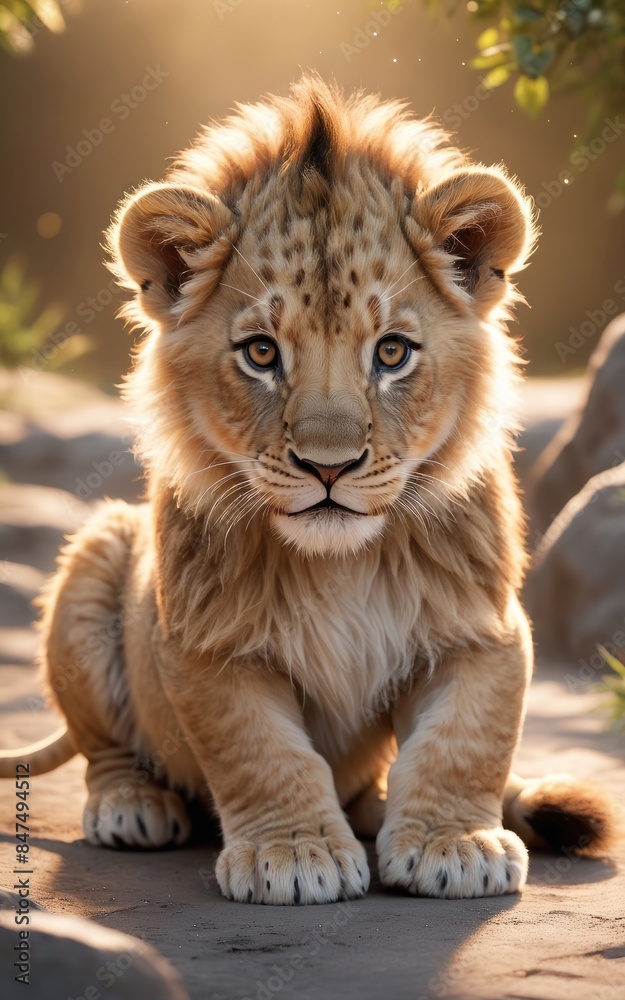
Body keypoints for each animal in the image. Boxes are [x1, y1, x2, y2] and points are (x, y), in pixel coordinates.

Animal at [0, 76, 616, 904]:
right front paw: (294, 854)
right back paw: (133, 805)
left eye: (391, 352)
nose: (329, 466)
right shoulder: (206, 643)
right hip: (98, 552)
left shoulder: (481, 628)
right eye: (261, 353)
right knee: (108, 749)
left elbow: (466, 740)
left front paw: (452, 843)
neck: (341, 562)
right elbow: (261, 751)